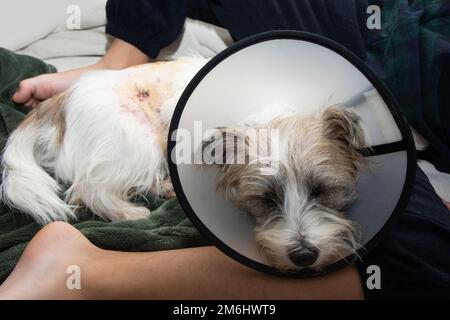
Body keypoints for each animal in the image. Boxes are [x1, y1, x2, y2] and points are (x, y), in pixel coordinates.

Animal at [2, 57, 370, 270]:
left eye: (322, 191)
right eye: (267, 200)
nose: (305, 255)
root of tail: (63, 100)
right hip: (138, 139)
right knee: (89, 189)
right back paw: (132, 213)